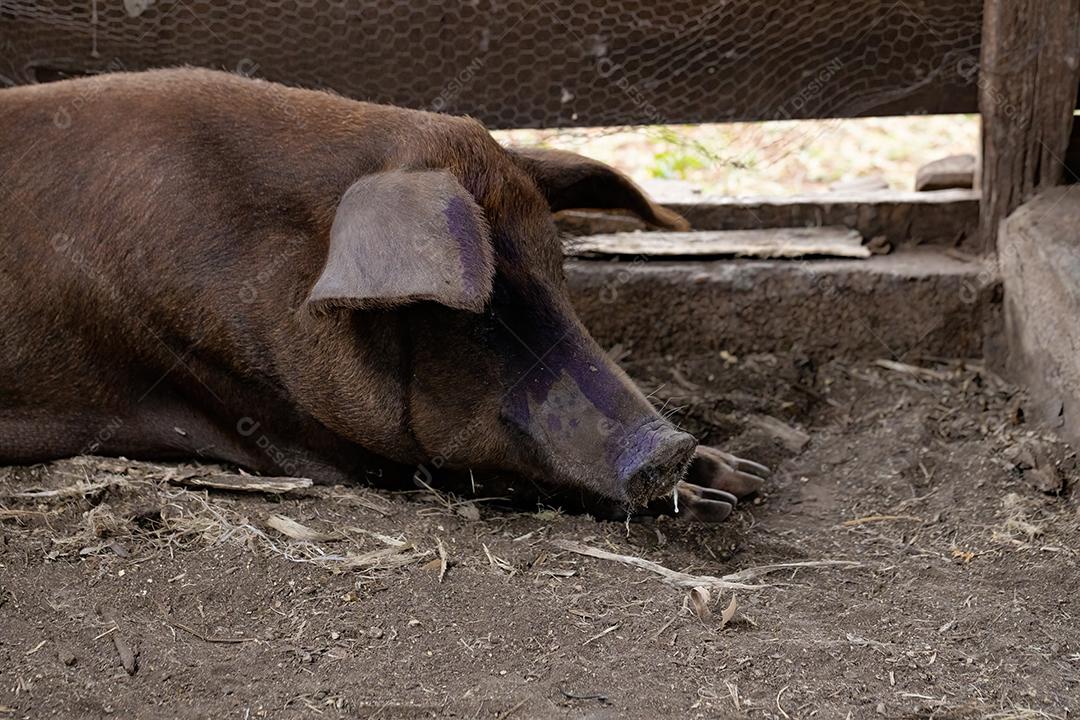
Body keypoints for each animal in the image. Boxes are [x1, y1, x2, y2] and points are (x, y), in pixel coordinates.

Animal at [0, 69, 767, 521]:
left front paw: (747, 478)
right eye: (480, 312)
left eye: (559, 275)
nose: (670, 446)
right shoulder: (278, 419)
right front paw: (719, 497)